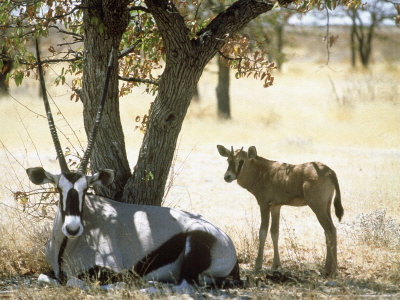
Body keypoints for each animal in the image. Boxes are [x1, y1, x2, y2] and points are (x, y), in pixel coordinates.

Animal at [27, 41, 241, 288]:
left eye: (86, 189)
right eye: (59, 189)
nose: (73, 227)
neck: (67, 244)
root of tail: (228, 245)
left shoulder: (112, 270)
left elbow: (74, 281)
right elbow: (44, 277)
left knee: (185, 283)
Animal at [217, 145, 342, 276]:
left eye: (241, 160)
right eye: (228, 160)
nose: (227, 176)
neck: (261, 171)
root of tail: (330, 172)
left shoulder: (264, 205)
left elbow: (262, 232)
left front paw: (258, 265)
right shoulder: (276, 206)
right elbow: (275, 232)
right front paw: (276, 265)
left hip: (317, 207)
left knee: (330, 230)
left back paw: (331, 269)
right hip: (326, 207)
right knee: (329, 231)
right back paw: (328, 268)